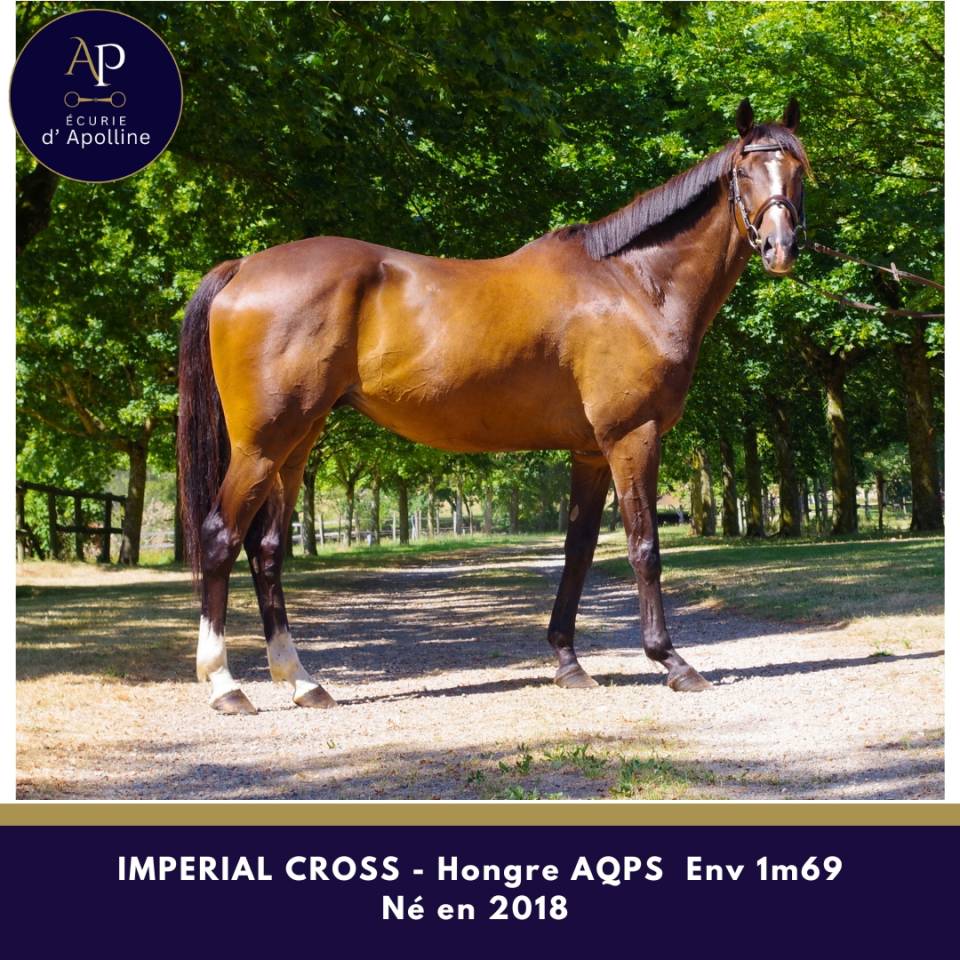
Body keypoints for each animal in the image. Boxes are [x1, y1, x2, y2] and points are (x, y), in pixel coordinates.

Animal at [177, 98, 809, 714]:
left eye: (799, 171)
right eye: (744, 172)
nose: (780, 248)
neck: (633, 284)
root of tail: (242, 267)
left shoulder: (590, 453)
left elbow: (578, 551)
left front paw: (568, 664)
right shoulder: (633, 437)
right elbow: (644, 547)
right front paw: (672, 662)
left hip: (296, 443)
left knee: (266, 550)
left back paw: (304, 682)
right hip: (261, 446)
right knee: (219, 538)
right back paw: (226, 686)